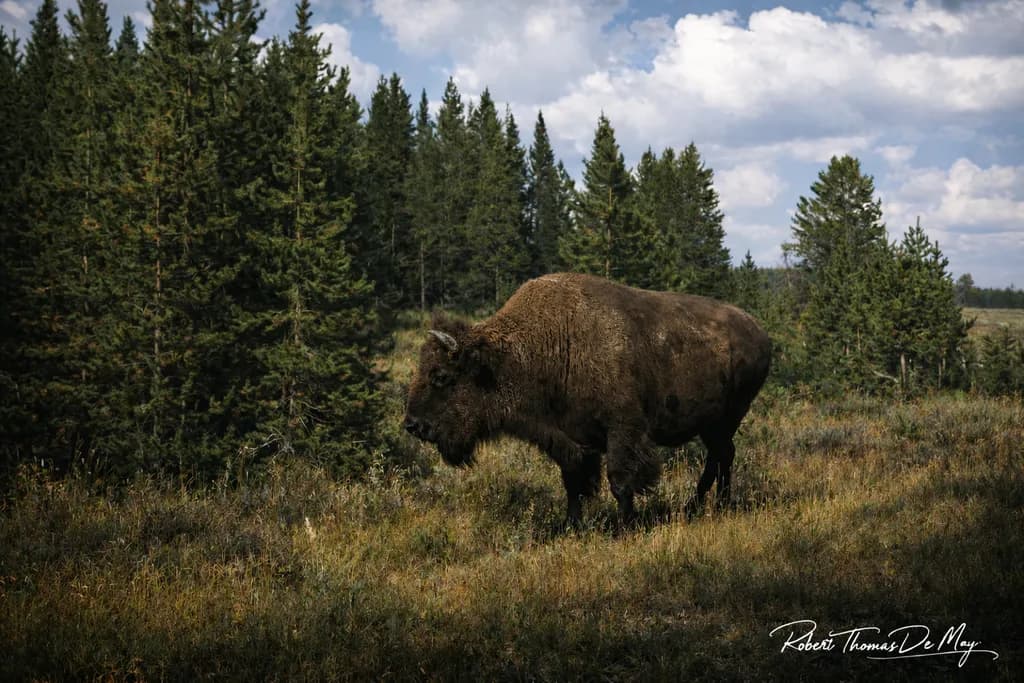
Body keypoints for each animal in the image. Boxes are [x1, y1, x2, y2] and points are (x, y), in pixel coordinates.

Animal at [403, 273, 771, 524]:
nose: (412, 425)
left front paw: (625, 525)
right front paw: (571, 525)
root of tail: (759, 331)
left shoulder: (623, 430)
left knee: (721, 456)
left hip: (726, 418)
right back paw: (704, 505)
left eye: (441, 376)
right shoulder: (568, 439)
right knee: (721, 456)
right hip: (713, 424)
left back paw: (709, 505)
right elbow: (573, 483)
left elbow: (620, 481)